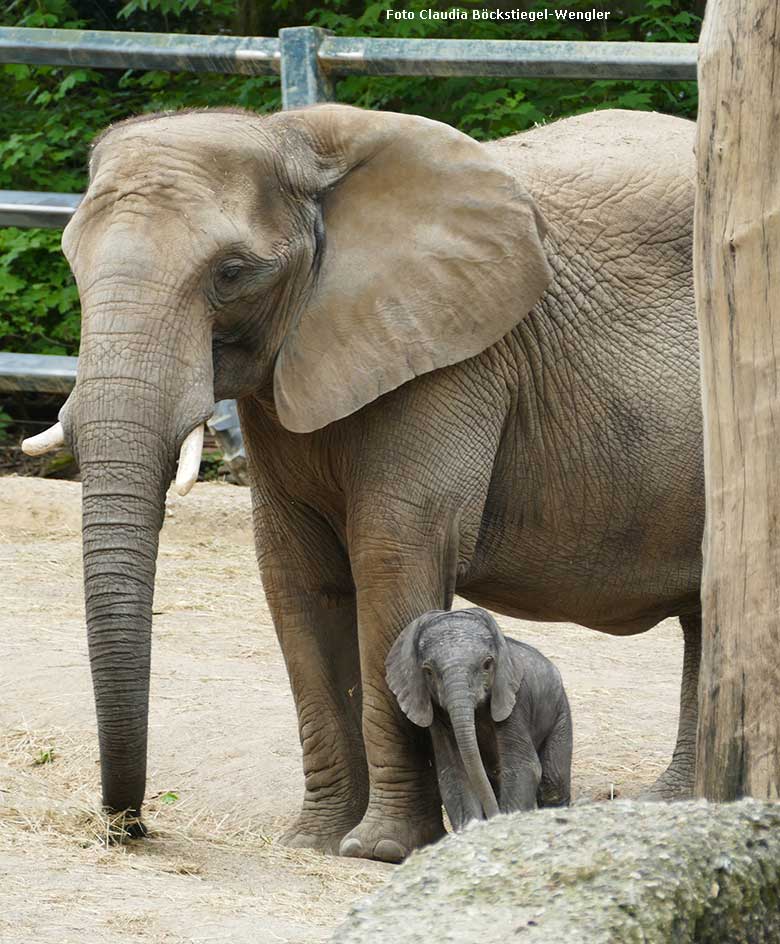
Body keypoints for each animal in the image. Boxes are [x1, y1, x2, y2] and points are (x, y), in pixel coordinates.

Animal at [386, 608, 572, 828]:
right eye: (428, 672)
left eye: (487, 664)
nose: (493, 817)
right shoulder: (437, 714)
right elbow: (455, 775)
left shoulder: (515, 699)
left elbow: (522, 767)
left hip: (560, 711)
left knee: (554, 781)